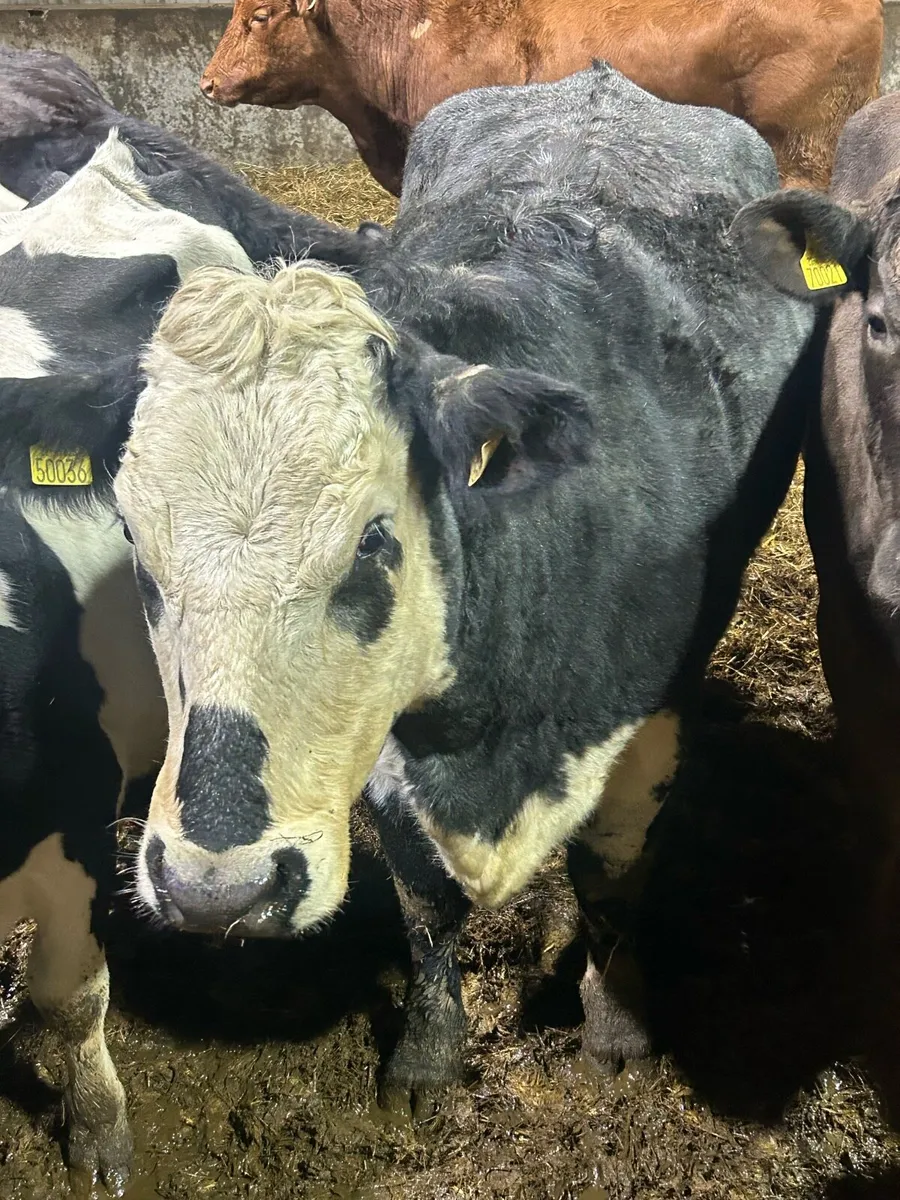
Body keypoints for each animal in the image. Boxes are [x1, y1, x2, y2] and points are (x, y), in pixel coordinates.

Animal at [110, 65, 816, 1108]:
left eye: (373, 539)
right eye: (132, 532)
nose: (216, 888)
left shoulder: (647, 721)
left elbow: (611, 874)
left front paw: (616, 1028)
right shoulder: (387, 740)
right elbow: (422, 897)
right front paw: (429, 1054)